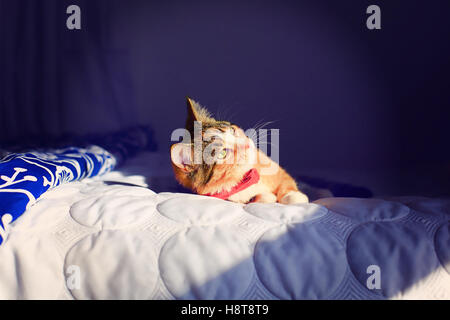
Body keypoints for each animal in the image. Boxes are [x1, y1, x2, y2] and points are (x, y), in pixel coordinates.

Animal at [170, 96, 310, 204]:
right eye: (222, 153)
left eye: (232, 130)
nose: (246, 144)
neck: (245, 174)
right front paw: (263, 197)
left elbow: (284, 179)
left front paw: (294, 196)